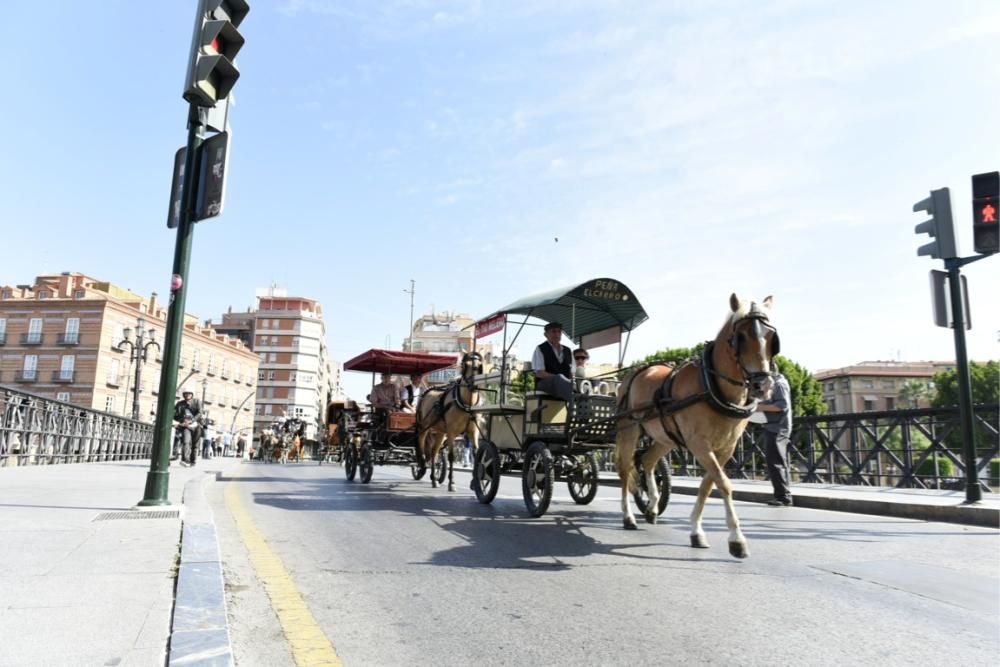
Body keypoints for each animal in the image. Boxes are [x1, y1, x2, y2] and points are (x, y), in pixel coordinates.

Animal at [414, 352, 484, 494]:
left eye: (479, 366)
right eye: (465, 365)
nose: (473, 385)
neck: (467, 404)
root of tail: (426, 392)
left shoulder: (473, 432)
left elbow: (476, 454)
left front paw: (475, 482)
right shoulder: (452, 432)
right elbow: (451, 456)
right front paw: (452, 483)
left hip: (441, 432)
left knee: (434, 452)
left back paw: (434, 479)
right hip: (424, 427)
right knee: (421, 445)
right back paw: (422, 465)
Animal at [612, 294, 776, 560]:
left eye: (771, 337)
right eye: (740, 337)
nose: (762, 386)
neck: (712, 386)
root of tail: (638, 370)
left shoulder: (726, 448)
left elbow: (709, 484)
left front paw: (696, 530)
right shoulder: (699, 444)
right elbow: (723, 483)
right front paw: (736, 538)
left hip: (664, 437)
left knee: (647, 460)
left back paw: (652, 507)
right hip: (629, 429)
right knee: (625, 469)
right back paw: (628, 516)